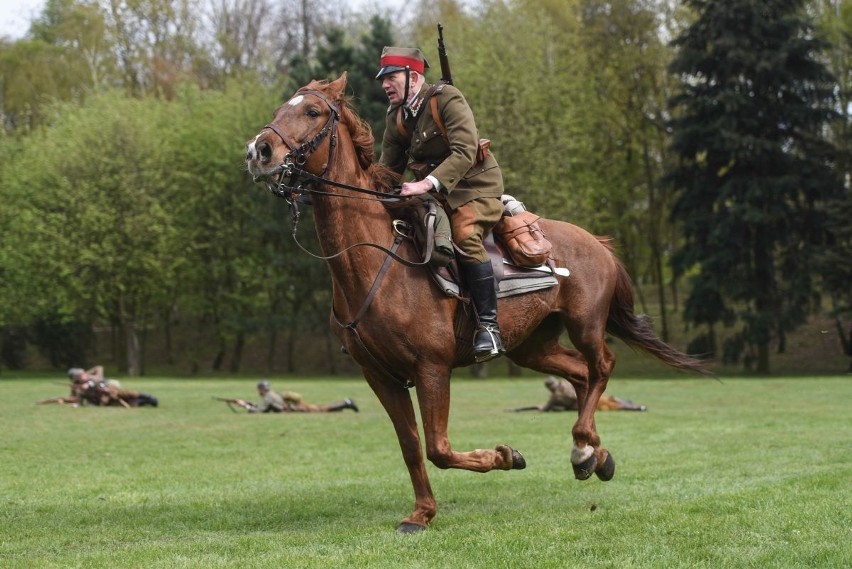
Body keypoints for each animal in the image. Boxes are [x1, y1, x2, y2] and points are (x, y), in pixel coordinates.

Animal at [243, 73, 708, 532]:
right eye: (278, 110)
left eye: (312, 111)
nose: (258, 151)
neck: (376, 260)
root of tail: (597, 242)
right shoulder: (381, 377)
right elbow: (412, 445)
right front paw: (421, 513)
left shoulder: (432, 369)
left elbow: (439, 447)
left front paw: (505, 456)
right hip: (531, 346)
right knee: (580, 374)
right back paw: (590, 454)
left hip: (586, 325)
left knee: (602, 366)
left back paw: (585, 447)